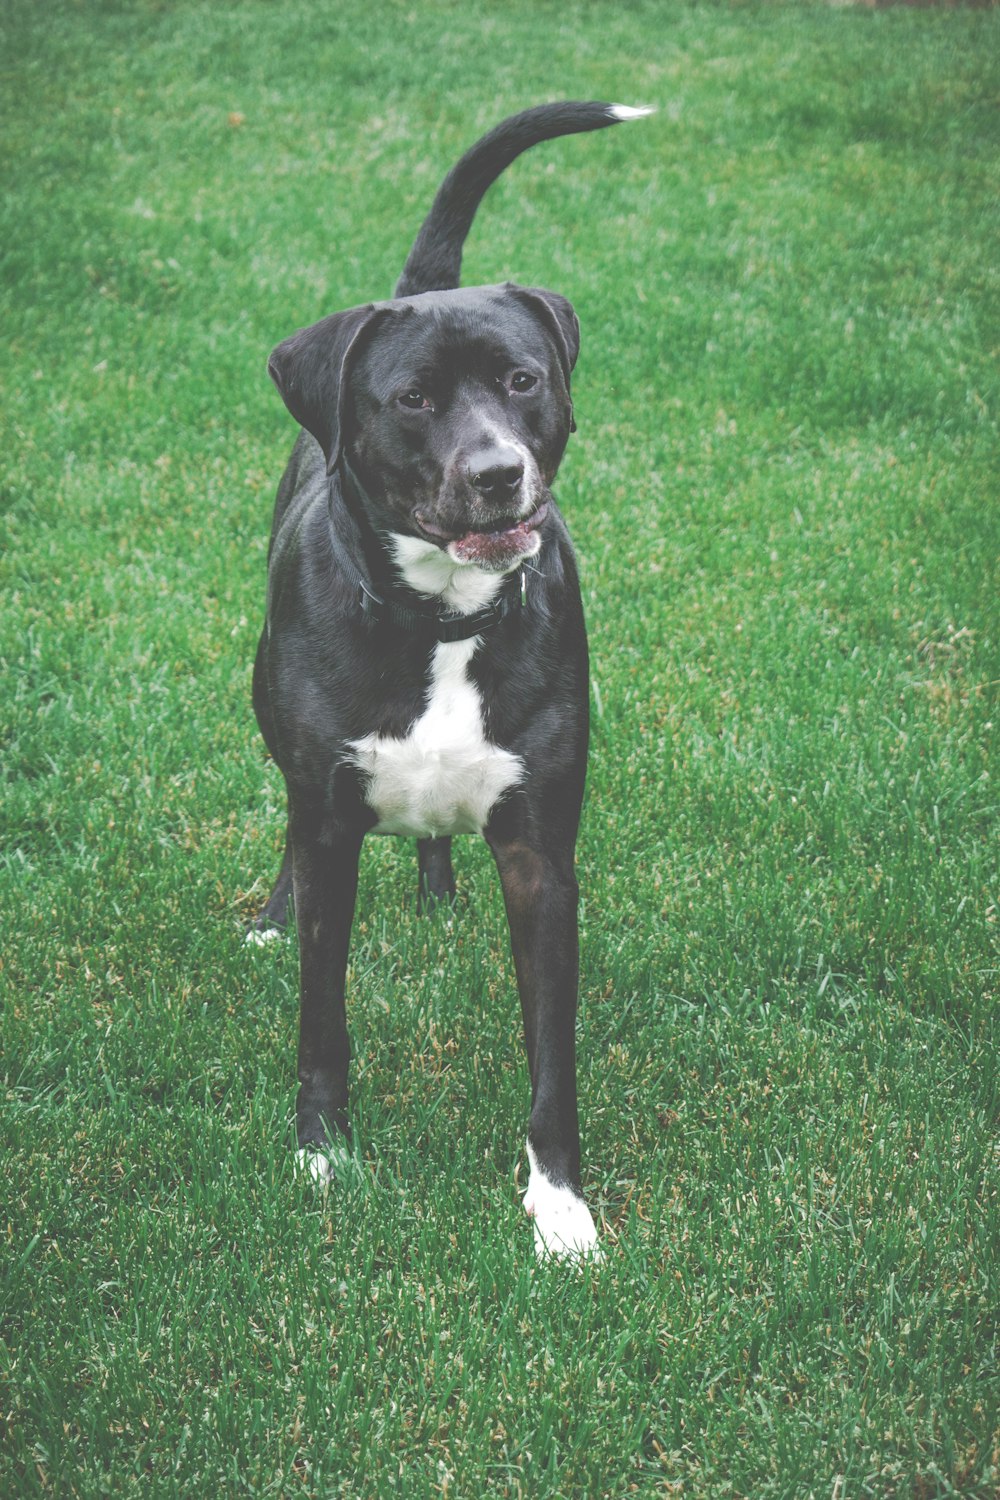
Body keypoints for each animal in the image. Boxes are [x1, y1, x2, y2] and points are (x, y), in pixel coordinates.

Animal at [251, 99, 650, 1260]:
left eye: (523, 379)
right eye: (413, 399)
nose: (497, 473)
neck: (443, 619)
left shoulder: (541, 857)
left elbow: (552, 1053)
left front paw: (560, 1205)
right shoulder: (332, 823)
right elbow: (323, 1011)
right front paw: (323, 1153)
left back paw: (435, 887)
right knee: (287, 814)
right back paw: (273, 911)